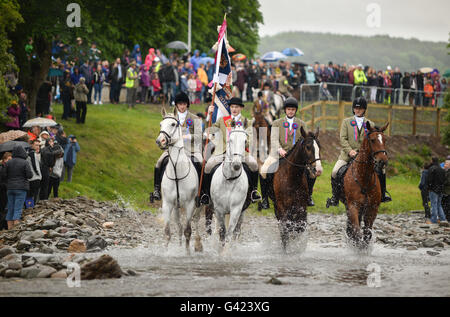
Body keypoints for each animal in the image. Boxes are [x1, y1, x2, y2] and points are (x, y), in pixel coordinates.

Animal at [156, 107, 202, 253]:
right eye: (160, 124)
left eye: (173, 124)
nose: (160, 141)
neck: (177, 171)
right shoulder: (167, 204)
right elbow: (168, 232)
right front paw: (166, 252)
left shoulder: (190, 204)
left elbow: (188, 230)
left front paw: (187, 253)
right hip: (176, 208)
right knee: (179, 226)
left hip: (200, 205)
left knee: (196, 222)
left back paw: (198, 245)